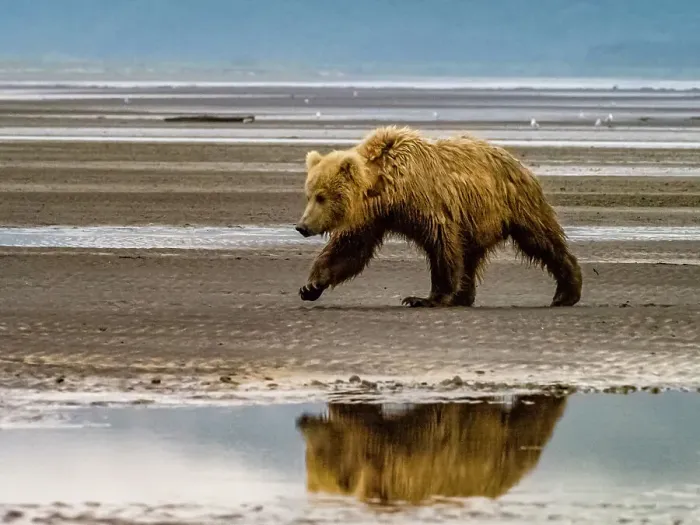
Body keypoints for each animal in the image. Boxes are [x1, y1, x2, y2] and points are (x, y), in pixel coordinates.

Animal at [295, 125, 582, 308]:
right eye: (309, 194)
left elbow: (441, 244)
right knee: (470, 256)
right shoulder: (373, 217)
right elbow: (349, 249)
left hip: (515, 202)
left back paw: (566, 292)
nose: (302, 226)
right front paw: (311, 286)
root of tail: (517, 161)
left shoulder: (428, 202)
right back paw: (464, 296)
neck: (389, 189)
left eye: (321, 196)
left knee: (541, 240)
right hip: (477, 219)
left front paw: (424, 298)